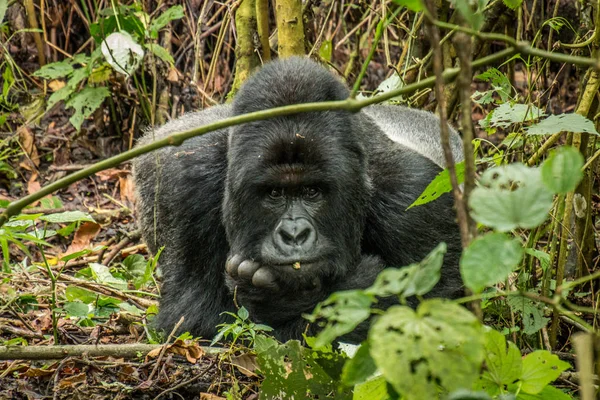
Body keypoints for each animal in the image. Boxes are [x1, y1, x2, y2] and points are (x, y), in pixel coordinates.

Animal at [134, 57, 464, 342]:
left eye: (312, 192)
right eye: (274, 193)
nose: (294, 234)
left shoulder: (416, 195)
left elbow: (437, 311)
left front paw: (280, 297)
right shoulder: (186, 181)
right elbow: (192, 315)